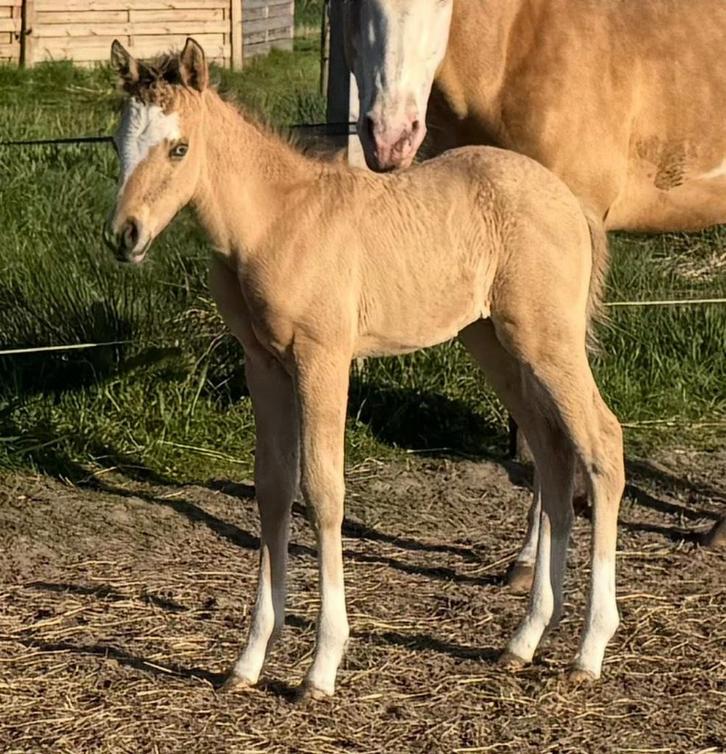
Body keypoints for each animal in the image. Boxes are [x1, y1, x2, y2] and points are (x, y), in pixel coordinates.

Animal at [105, 38, 624, 700]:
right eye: (119, 142)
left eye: (179, 147)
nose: (125, 235)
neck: (275, 221)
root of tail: (568, 199)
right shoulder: (263, 365)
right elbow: (273, 490)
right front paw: (248, 662)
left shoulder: (322, 358)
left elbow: (324, 492)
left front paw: (320, 668)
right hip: (494, 342)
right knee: (554, 454)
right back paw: (524, 639)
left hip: (546, 339)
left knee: (601, 443)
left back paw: (589, 650)